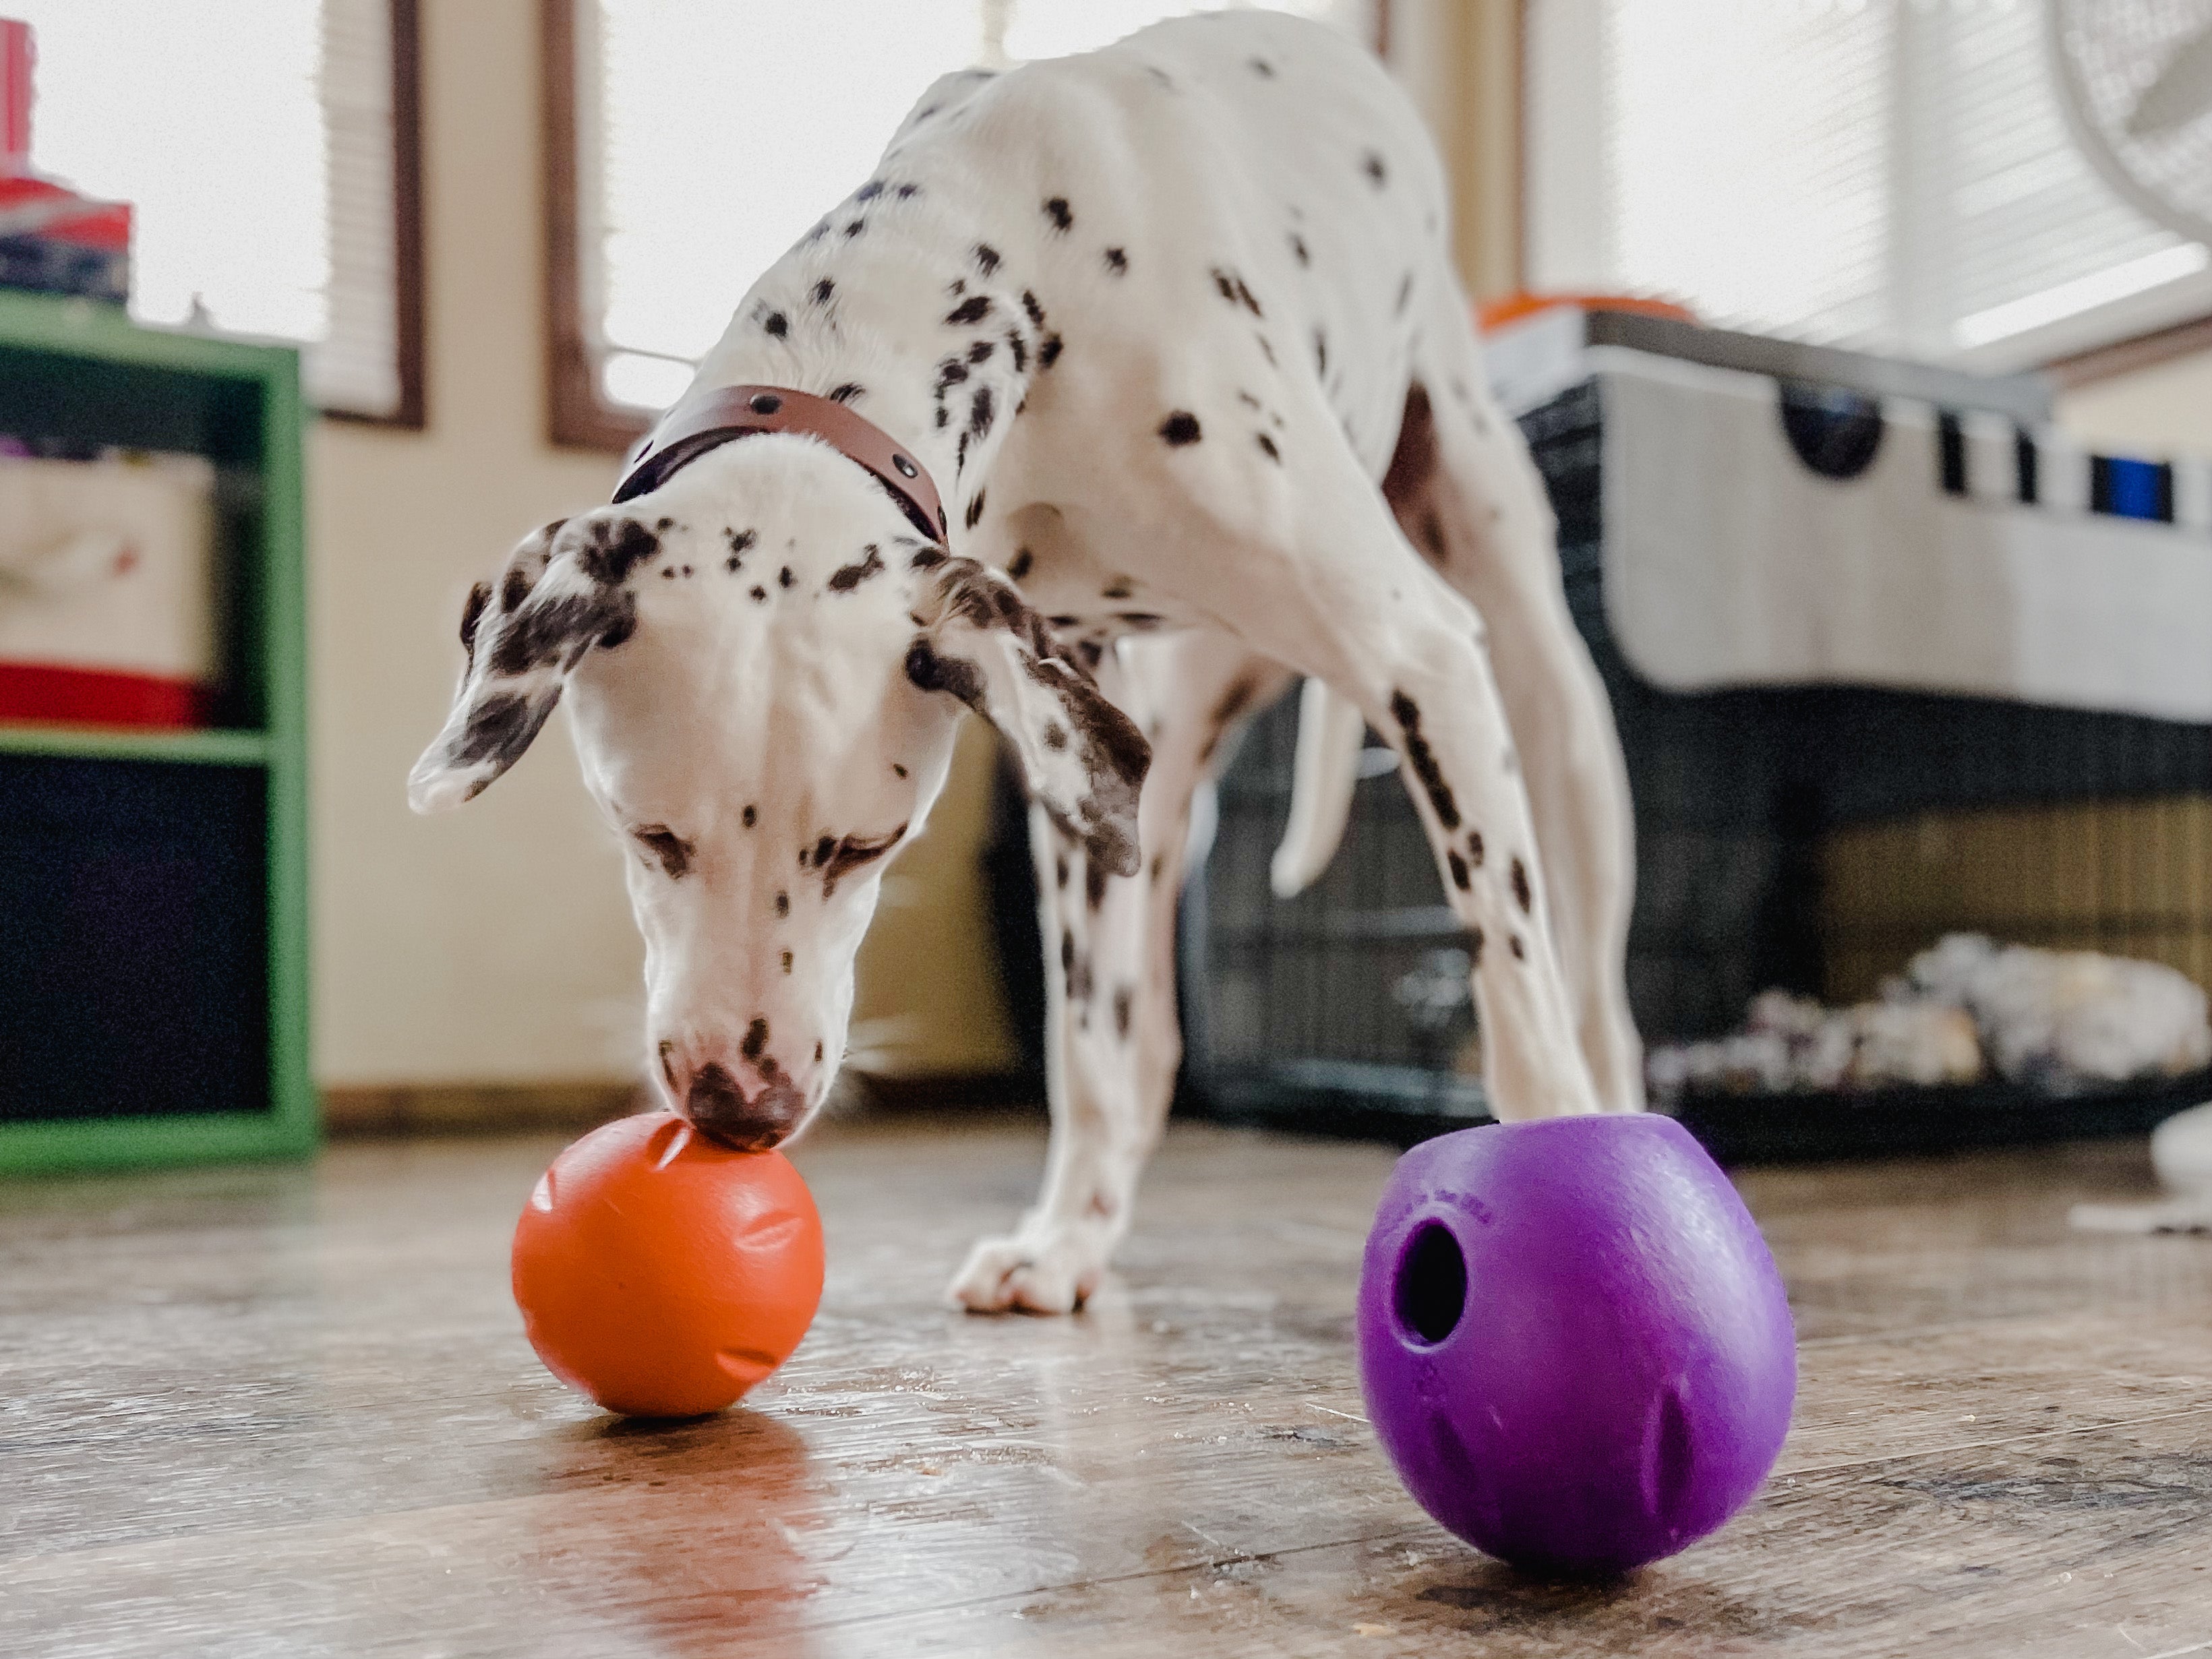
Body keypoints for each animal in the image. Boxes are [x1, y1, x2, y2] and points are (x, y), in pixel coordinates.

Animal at [411, 9, 1646, 1309]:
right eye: (646, 833)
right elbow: (1090, 1052)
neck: (1003, 257)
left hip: (1538, 702)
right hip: (1141, 771)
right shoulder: (1069, 732)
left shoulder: (1417, 659)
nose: (743, 1108)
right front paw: (1061, 1241)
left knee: (1589, 997)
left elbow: (1520, 1019)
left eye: (867, 847)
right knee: (1144, 1039)